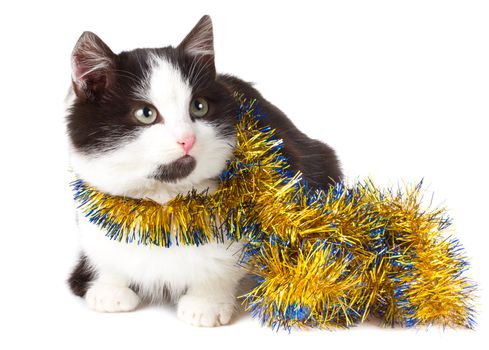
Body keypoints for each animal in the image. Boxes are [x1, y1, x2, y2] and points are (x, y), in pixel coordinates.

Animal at [66, 15, 342, 328]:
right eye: (145, 113)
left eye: (199, 107)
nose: (187, 139)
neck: (163, 202)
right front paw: (110, 288)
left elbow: (225, 260)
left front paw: (206, 302)